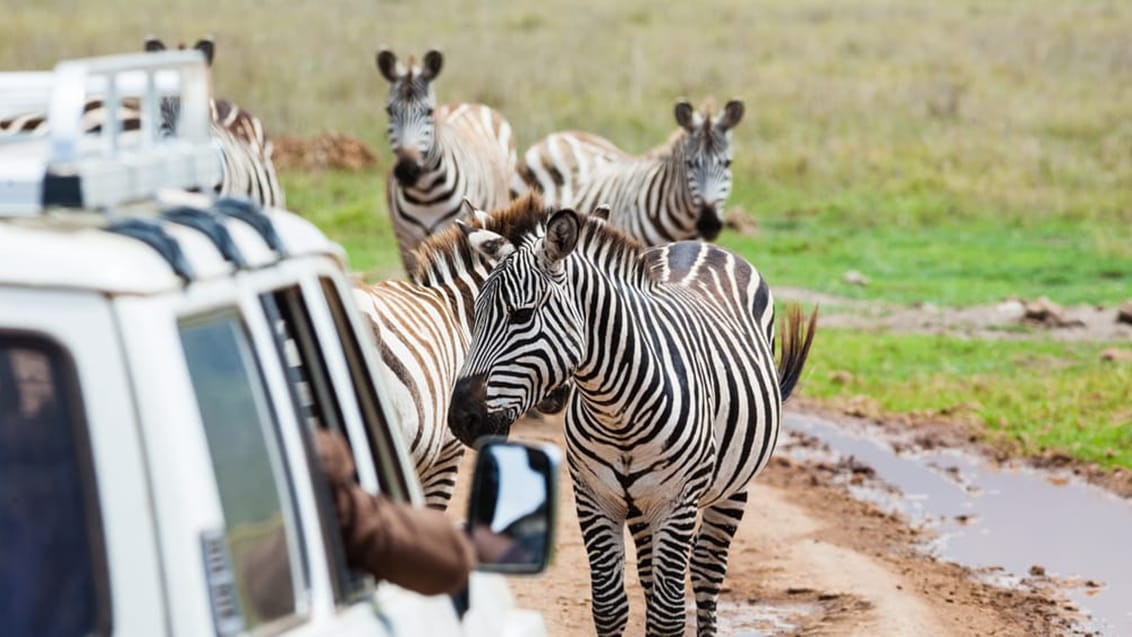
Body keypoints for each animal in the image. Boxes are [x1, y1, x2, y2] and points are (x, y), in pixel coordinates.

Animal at [376, 48, 516, 274]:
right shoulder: (406, 242)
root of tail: (465, 103)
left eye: (429, 111)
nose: (407, 170)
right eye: (390, 110)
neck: (425, 194)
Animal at [448, 207, 817, 636]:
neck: (617, 411)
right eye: (475, 314)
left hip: (732, 487)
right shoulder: (594, 497)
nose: (462, 419)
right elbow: (610, 606)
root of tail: (701, 245)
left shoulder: (676, 502)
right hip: (641, 507)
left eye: (522, 315)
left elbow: (669, 616)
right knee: (650, 575)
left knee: (706, 572)